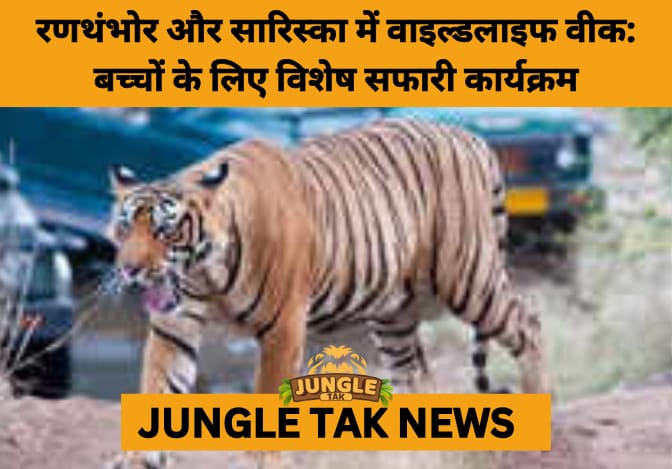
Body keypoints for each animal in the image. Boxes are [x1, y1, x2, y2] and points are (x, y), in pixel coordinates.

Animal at [107, 118, 550, 468]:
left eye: (165, 231)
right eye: (126, 228)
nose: (130, 270)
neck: (206, 274)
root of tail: (469, 136)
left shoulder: (282, 327)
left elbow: (268, 394)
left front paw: (262, 461)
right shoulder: (174, 325)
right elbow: (158, 384)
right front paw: (139, 460)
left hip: (468, 277)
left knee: (529, 323)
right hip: (394, 314)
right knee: (417, 375)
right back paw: (410, 457)